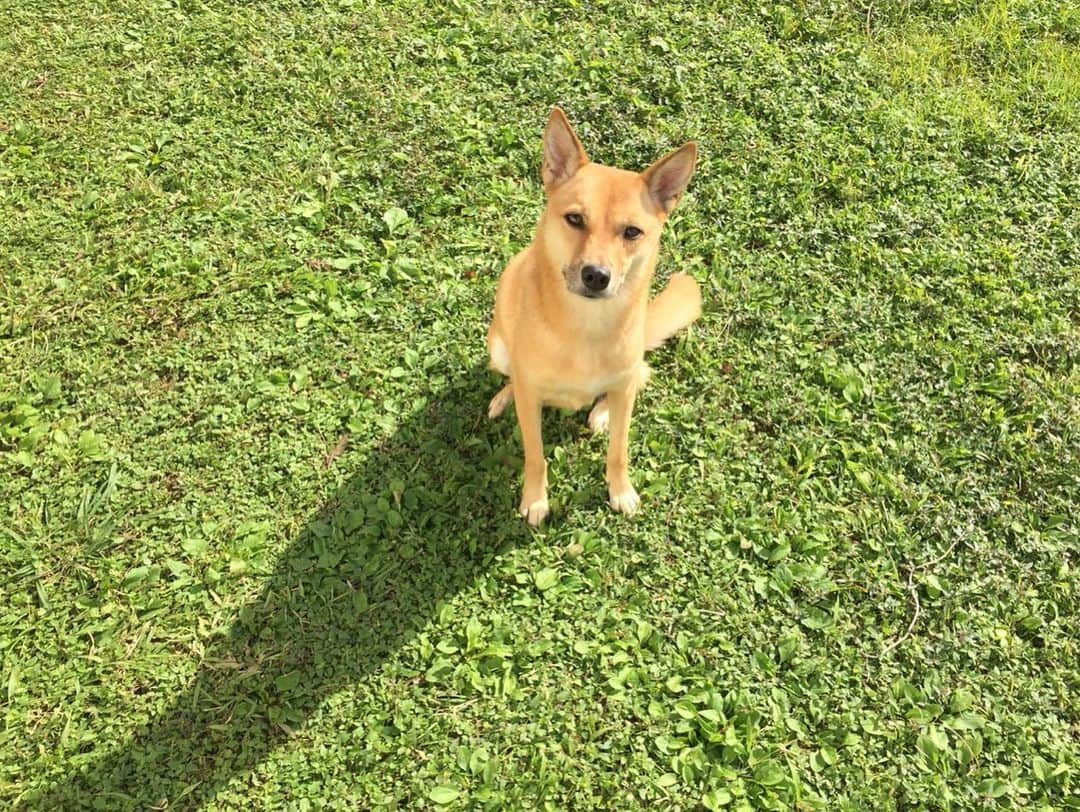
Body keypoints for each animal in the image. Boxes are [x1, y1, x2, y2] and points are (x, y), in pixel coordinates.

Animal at [488, 107, 699, 526]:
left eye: (632, 231)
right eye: (574, 219)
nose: (596, 276)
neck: (585, 326)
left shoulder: (624, 392)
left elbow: (619, 451)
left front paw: (620, 491)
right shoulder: (530, 399)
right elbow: (535, 456)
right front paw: (535, 499)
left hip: (630, 377)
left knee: (636, 380)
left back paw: (601, 412)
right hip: (498, 349)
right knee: (512, 379)